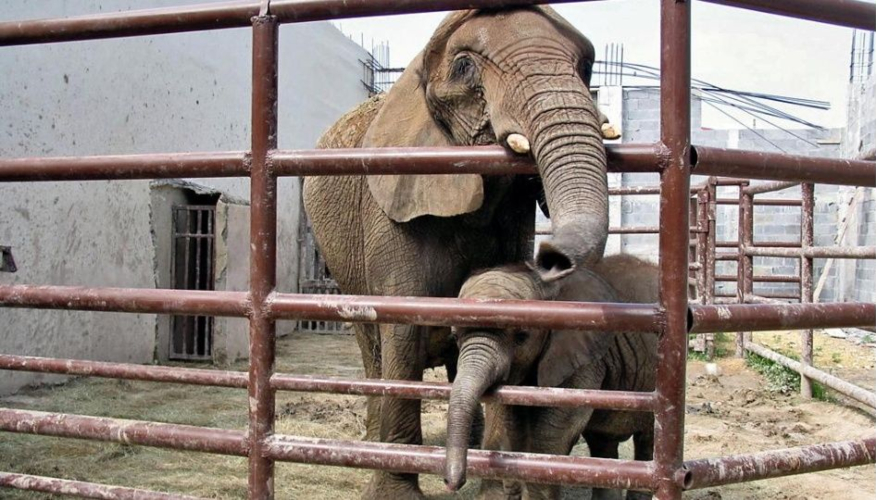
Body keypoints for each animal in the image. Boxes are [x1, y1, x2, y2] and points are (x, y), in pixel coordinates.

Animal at [302, 5, 608, 498]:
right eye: (465, 67)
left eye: (584, 67)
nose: (550, 258)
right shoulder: (389, 204)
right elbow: (402, 328)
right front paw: (397, 492)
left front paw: (496, 484)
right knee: (373, 347)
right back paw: (370, 444)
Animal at [444, 256, 656, 500]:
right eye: (455, 336)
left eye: (521, 336)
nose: (451, 482)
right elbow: (513, 425)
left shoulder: (582, 358)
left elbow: (549, 435)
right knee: (603, 443)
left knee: (646, 440)